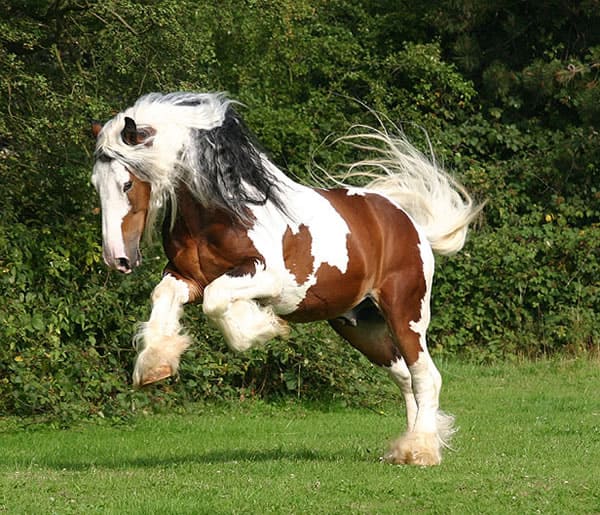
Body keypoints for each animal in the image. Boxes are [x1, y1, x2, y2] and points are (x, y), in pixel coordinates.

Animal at [90, 92, 482, 468]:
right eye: (95, 184)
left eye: (127, 183)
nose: (117, 259)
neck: (223, 211)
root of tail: (408, 223)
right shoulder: (187, 278)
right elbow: (164, 294)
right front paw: (155, 364)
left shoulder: (268, 278)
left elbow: (217, 299)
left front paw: (260, 329)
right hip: (361, 326)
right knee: (405, 378)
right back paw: (406, 448)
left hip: (406, 314)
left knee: (426, 377)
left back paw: (422, 453)